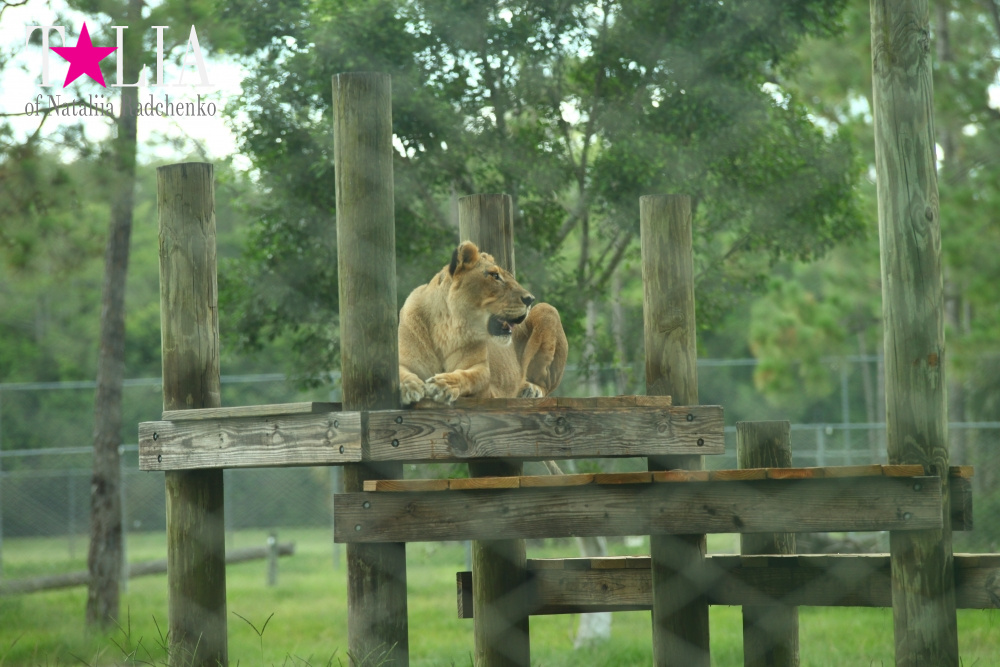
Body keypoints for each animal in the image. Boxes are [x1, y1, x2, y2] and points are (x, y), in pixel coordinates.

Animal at [398, 240, 568, 406]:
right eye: (495, 276)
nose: (530, 299)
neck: (447, 327)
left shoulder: (483, 373)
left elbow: (470, 378)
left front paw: (444, 384)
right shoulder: (404, 360)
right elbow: (399, 372)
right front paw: (409, 386)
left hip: (547, 310)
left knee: (544, 385)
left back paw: (530, 388)